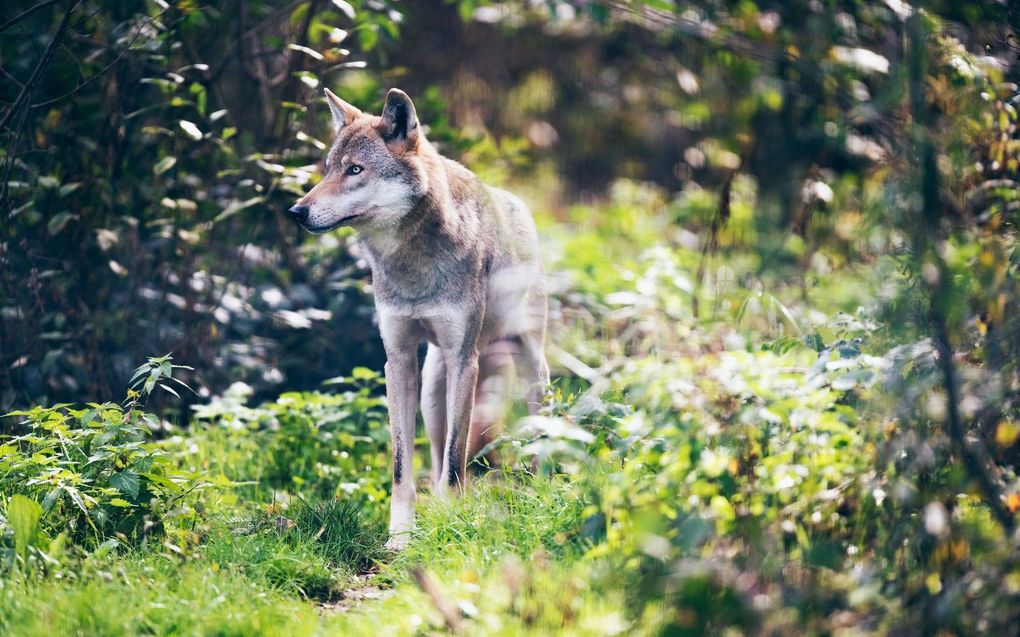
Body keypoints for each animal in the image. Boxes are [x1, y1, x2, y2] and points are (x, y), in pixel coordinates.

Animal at [287, 87, 550, 550]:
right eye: (328, 170)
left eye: (355, 170)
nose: (296, 211)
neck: (412, 266)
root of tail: (516, 203)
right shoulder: (398, 359)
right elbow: (401, 465)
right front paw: (400, 536)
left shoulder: (465, 360)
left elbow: (455, 461)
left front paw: (450, 524)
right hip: (432, 385)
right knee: (435, 455)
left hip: (530, 371)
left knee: (534, 436)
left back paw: (540, 488)